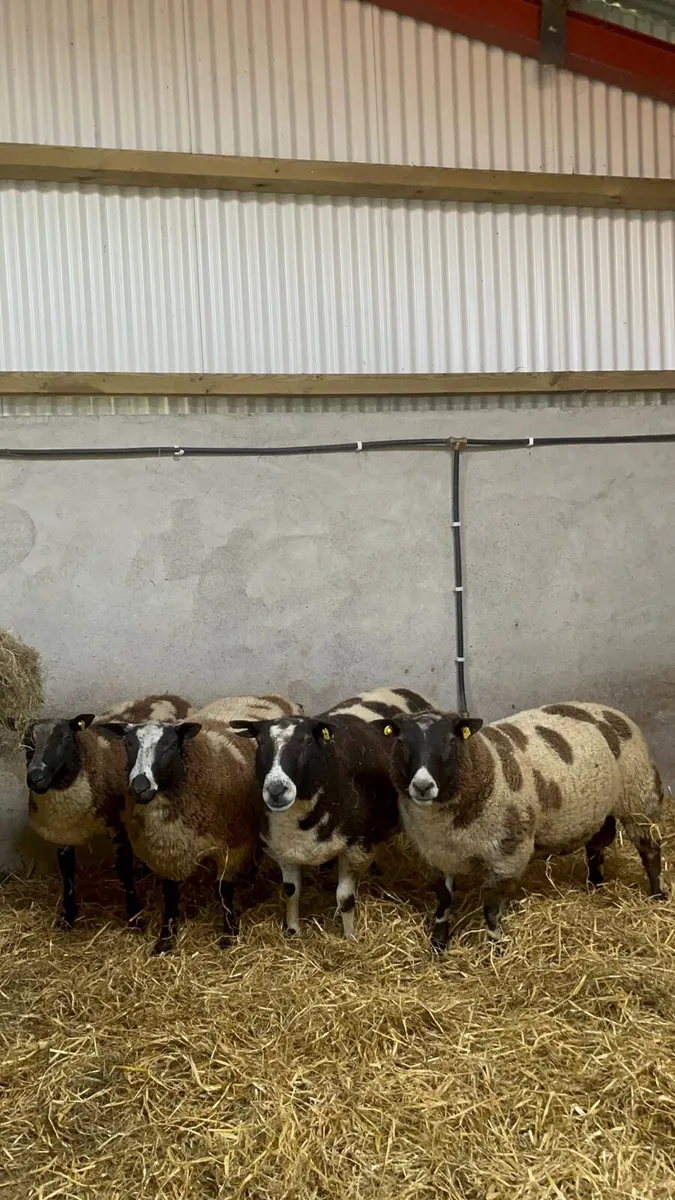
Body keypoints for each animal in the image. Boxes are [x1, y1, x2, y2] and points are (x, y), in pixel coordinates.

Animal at [24, 694, 193, 930]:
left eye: (66, 737)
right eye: (26, 742)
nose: (35, 777)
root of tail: (171, 697)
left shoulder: (118, 825)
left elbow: (124, 870)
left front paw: (135, 917)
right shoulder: (63, 834)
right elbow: (67, 874)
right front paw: (67, 917)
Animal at [98, 694, 302, 954]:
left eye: (170, 746)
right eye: (128, 745)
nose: (139, 787)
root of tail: (271, 695)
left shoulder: (233, 845)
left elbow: (224, 892)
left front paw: (229, 936)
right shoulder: (168, 851)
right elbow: (170, 896)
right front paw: (165, 940)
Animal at [232, 686, 435, 937]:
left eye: (307, 741)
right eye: (259, 742)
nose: (276, 790)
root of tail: (404, 689)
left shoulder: (355, 847)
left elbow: (345, 899)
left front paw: (350, 937)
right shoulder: (284, 849)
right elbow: (291, 891)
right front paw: (293, 930)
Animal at [376, 702, 669, 950]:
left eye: (450, 741)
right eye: (400, 741)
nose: (422, 786)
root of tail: (610, 710)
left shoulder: (507, 855)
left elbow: (491, 907)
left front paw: (495, 949)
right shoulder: (437, 855)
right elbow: (444, 901)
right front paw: (437, 945)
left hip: (638, 797)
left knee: (650, 851)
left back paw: (657, 896)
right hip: (599, 808)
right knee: (597, 844)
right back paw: (595, 886)